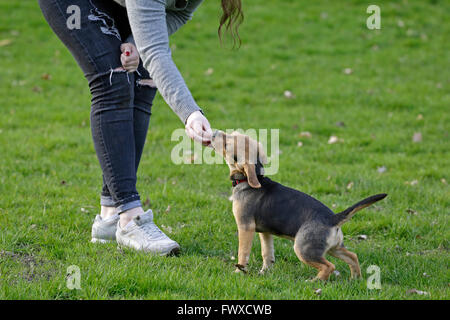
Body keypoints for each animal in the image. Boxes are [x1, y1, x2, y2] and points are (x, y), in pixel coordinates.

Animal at [211, 129, 386, 280]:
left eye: (226, 144)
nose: (213, 133)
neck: (249, 180)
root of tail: (333, 218)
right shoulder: (265, 232)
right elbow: (267, 253)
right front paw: (264, 272)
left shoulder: (245, 227)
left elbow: (243, 253)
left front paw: (238, 271)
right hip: (333, 247)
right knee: (352, 256)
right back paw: (355, 278)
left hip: (303, 248)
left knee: (329, 266)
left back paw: (315, 282)